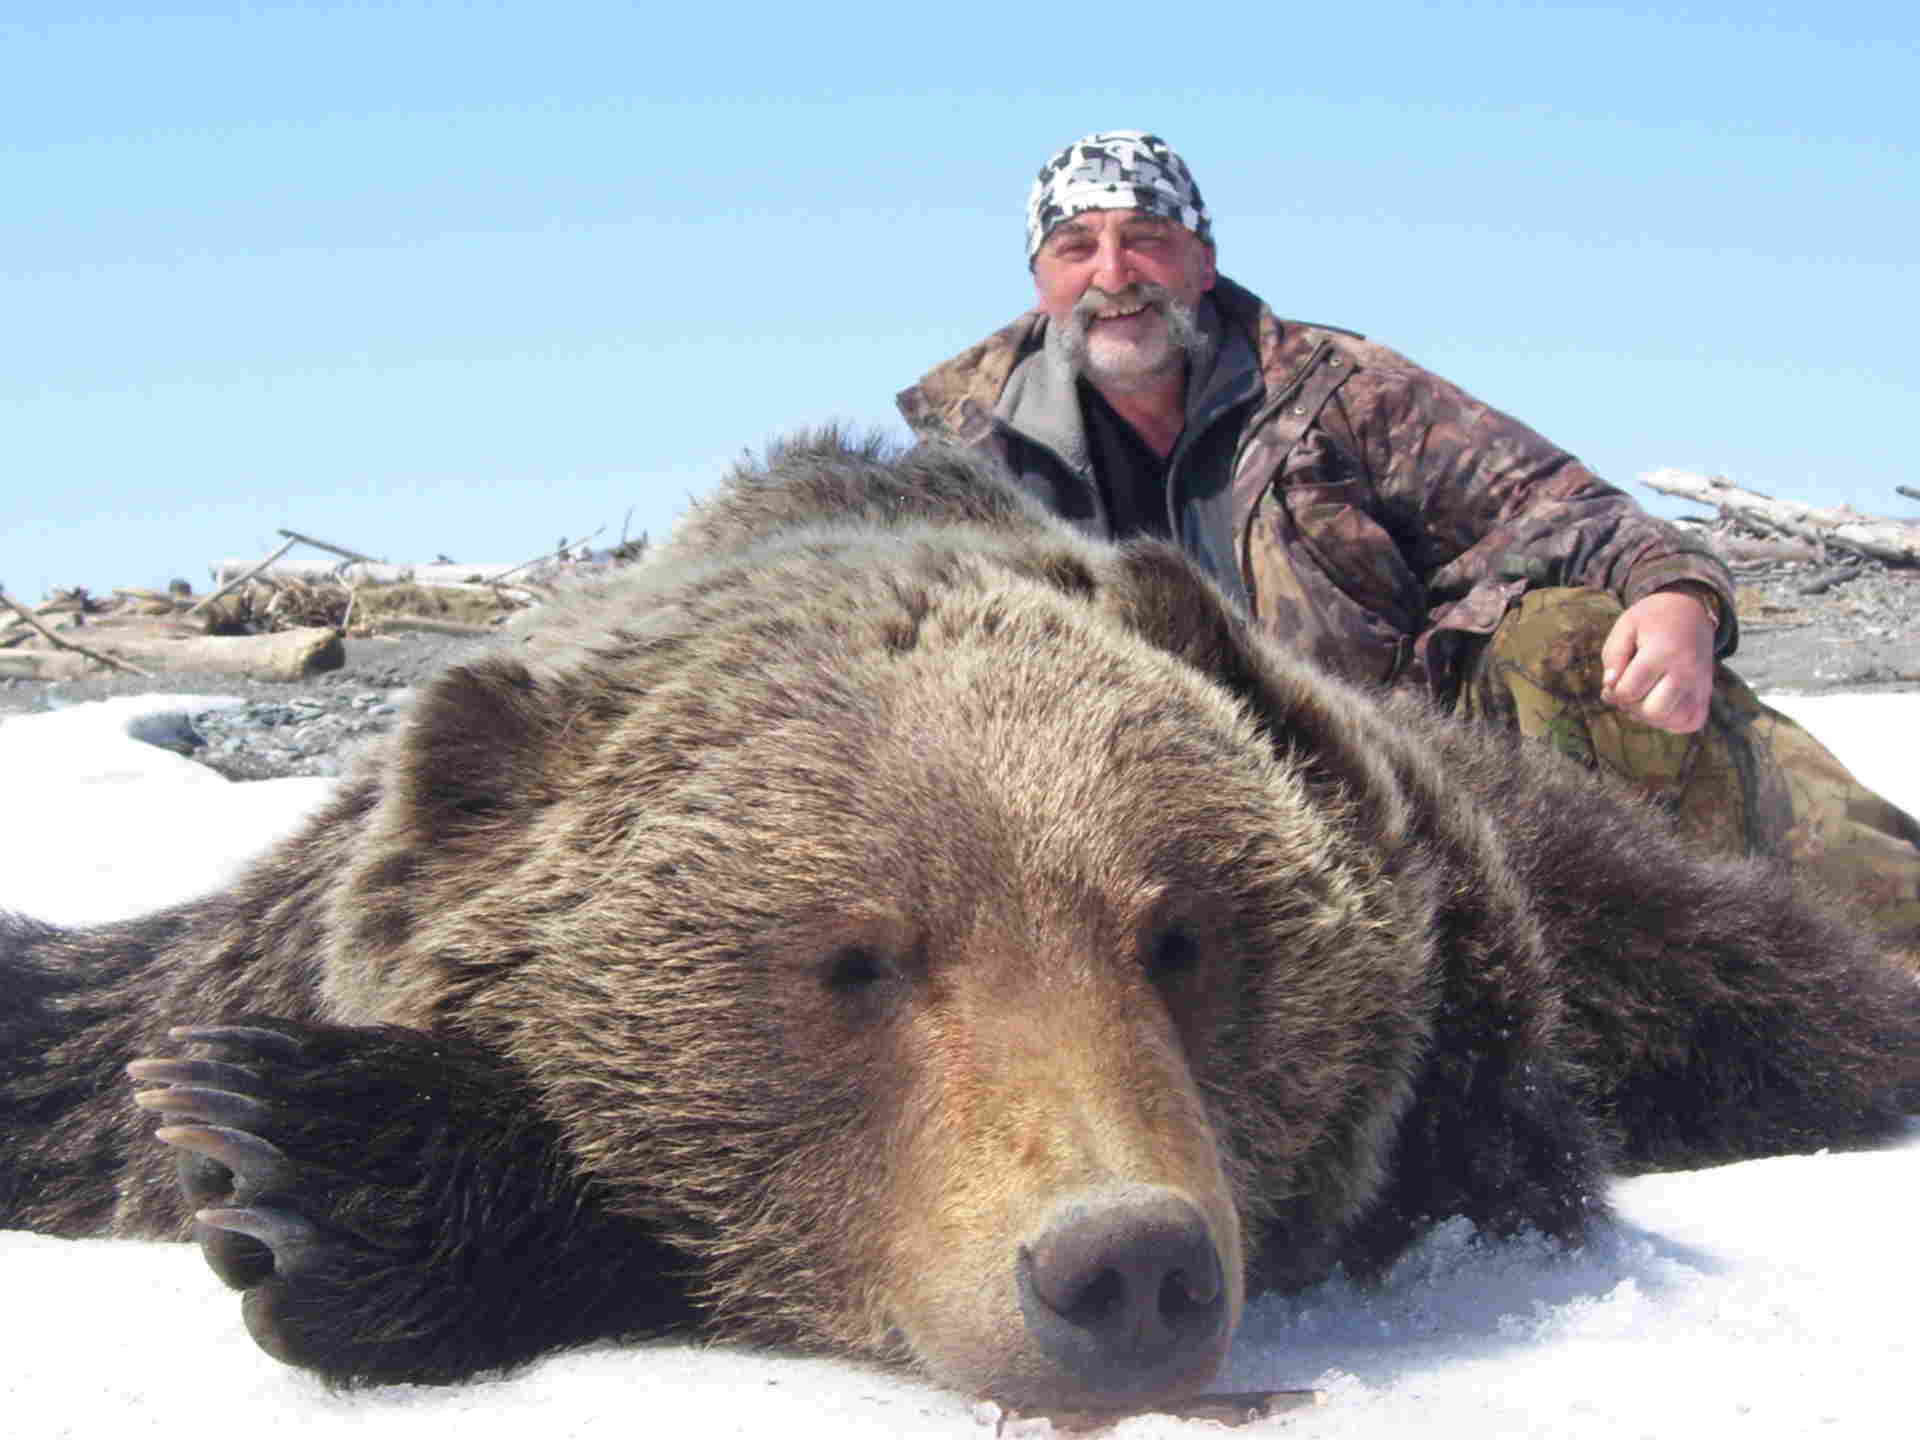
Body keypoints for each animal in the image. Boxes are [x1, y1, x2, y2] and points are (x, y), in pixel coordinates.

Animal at [3, 432, 1920, 1420]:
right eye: (856, 960)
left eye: (1184, 933)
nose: (1125, 1266)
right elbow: (87, 1059)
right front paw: (269, 1143)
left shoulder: (1476, 988)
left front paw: (316, 1159)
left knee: (1779, 984)